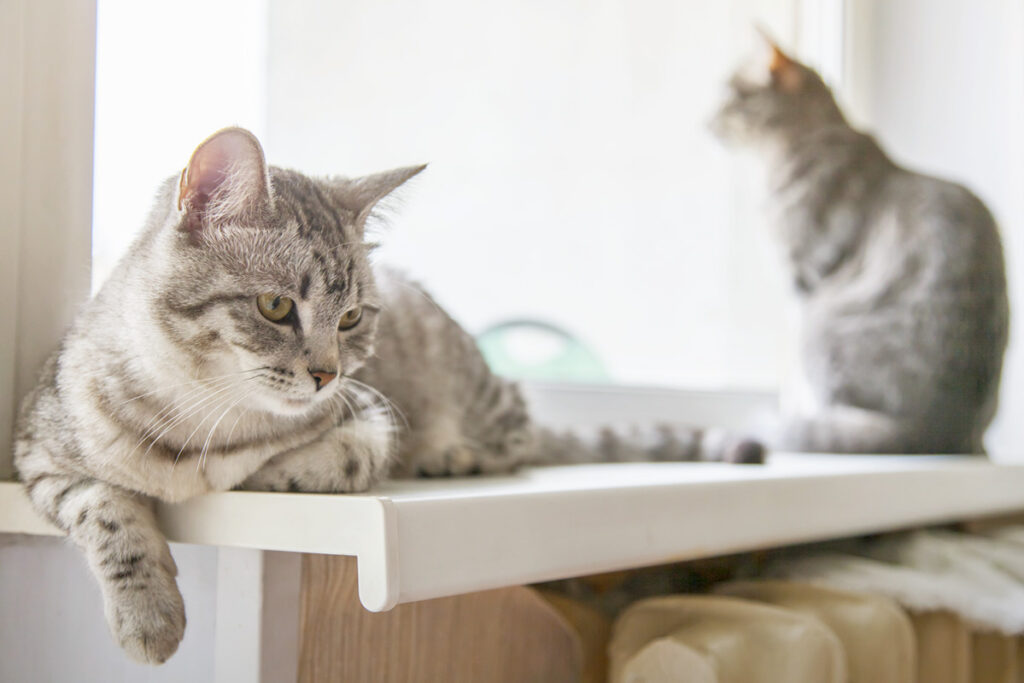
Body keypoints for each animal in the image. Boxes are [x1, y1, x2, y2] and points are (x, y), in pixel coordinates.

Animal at [9, 126, 761, 663]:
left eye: (350, 318)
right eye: (277, 306)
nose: (327, 374)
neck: (203, 414)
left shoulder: (370, 413)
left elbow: (341, 459)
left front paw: (269, 471)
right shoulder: (39, 454)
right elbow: (109, 513)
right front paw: (150, 615)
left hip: (481, 394)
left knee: (517, 431)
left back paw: (452, 456)